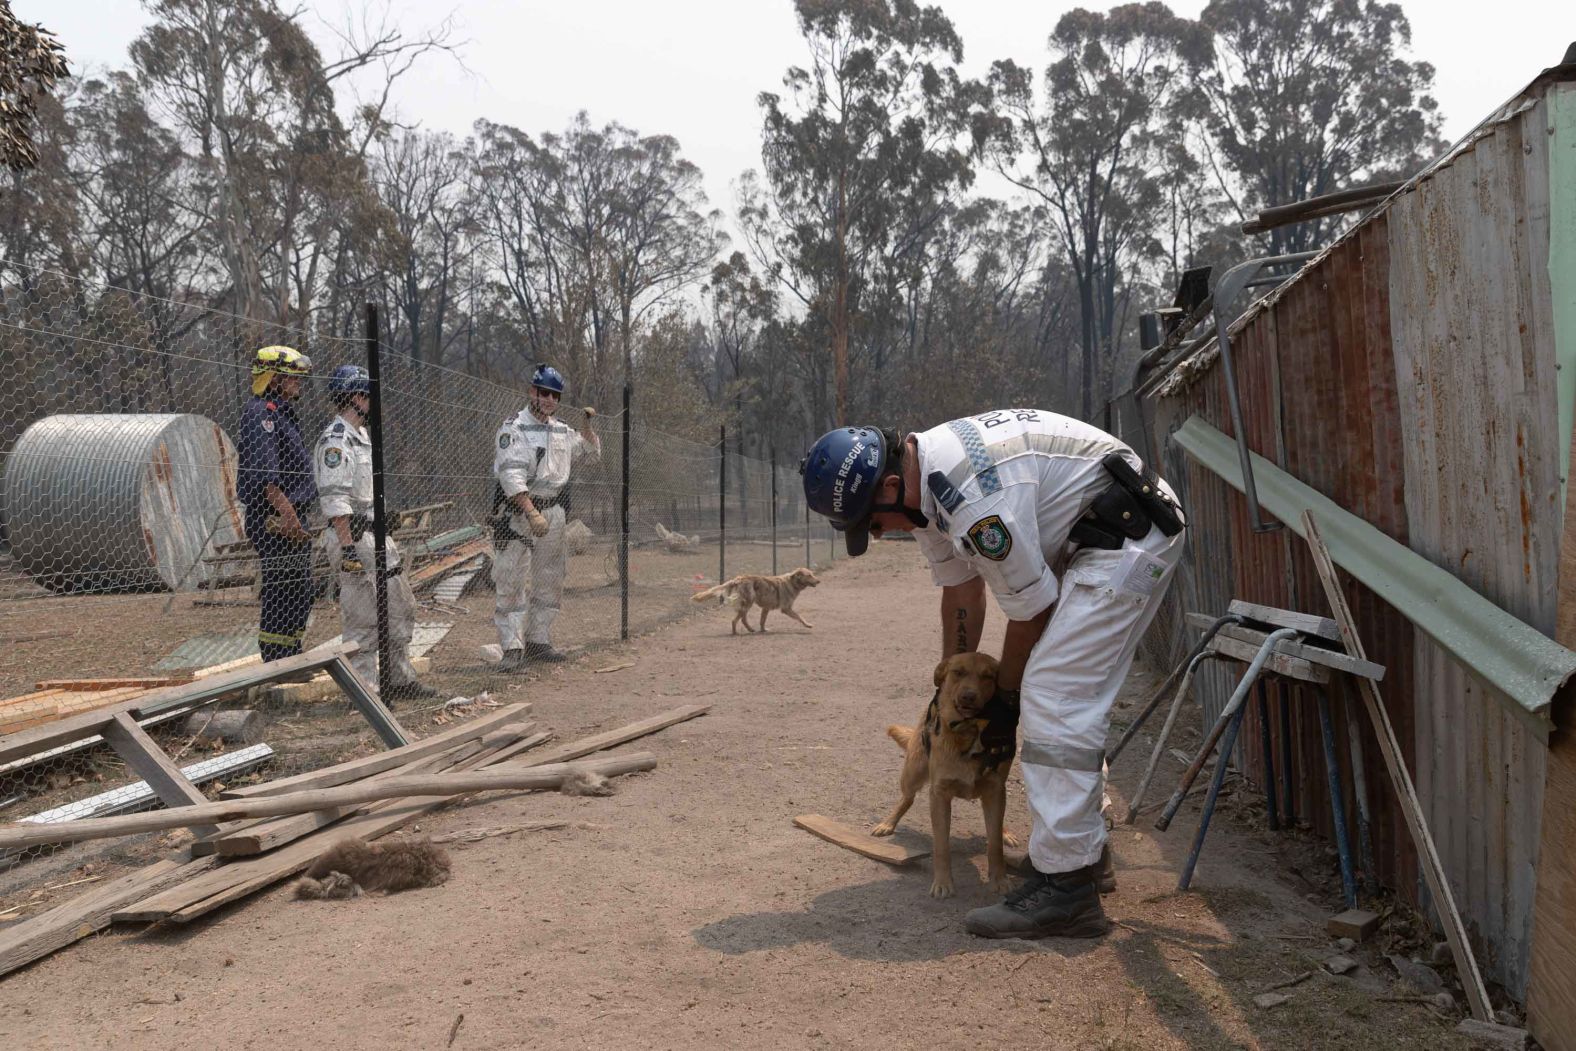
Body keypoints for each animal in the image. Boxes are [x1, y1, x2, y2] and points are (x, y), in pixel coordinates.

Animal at [690, 567, 819, 633]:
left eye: (812, 574)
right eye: (809, 575)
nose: (819, 581)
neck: (792, 582)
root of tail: (738, 579)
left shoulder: (766, 608)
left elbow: (762, 621)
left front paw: (763, 630)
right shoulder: (786, 609)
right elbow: (800, 617)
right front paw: (808, 625)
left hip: (746, 604)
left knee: (737, 620)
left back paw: (741, 631)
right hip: (748, 603)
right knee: (738, 620)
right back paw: (745, 630)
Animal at [876, 652, 1021, 901]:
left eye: (988, 676)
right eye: (958, 672)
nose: (968, 696)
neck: (968, 735)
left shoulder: (995, 790)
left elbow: (994, 844)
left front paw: (1000, 879)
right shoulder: (939, 795)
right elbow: (941, 845)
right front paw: (943, 883)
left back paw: (1005, 832)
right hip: (913, 772)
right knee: (907, 798)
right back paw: (888, 822)